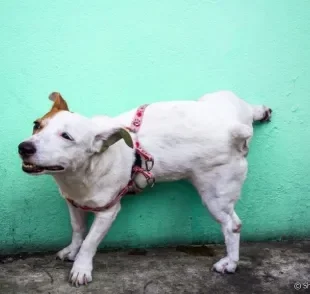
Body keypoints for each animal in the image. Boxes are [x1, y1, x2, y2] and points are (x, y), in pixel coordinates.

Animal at [18, 90, 272, 286]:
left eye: (67, 136)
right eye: (36, 125)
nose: (24, 147)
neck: (80, 173)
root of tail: (232, 128)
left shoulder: (108, 211)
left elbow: (90, 242)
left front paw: (81, 267)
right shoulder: (73, 203)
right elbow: (78, 229)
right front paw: (72, 250)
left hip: (215, 195)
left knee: (232, 225)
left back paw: (230, 263)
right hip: (219, 99)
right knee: (246, 106)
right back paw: (260, 111)